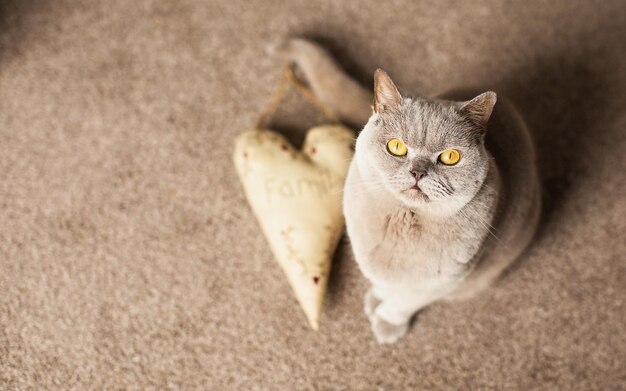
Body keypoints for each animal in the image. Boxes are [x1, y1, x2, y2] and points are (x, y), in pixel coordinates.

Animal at [270, 36, 540, 344]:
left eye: (450, 157)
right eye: (397, 147)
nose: (418, 172)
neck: (402, 223)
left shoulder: (444, 280)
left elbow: (404, 302)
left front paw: (386, 322)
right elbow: (385, 285)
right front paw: (377, 298)